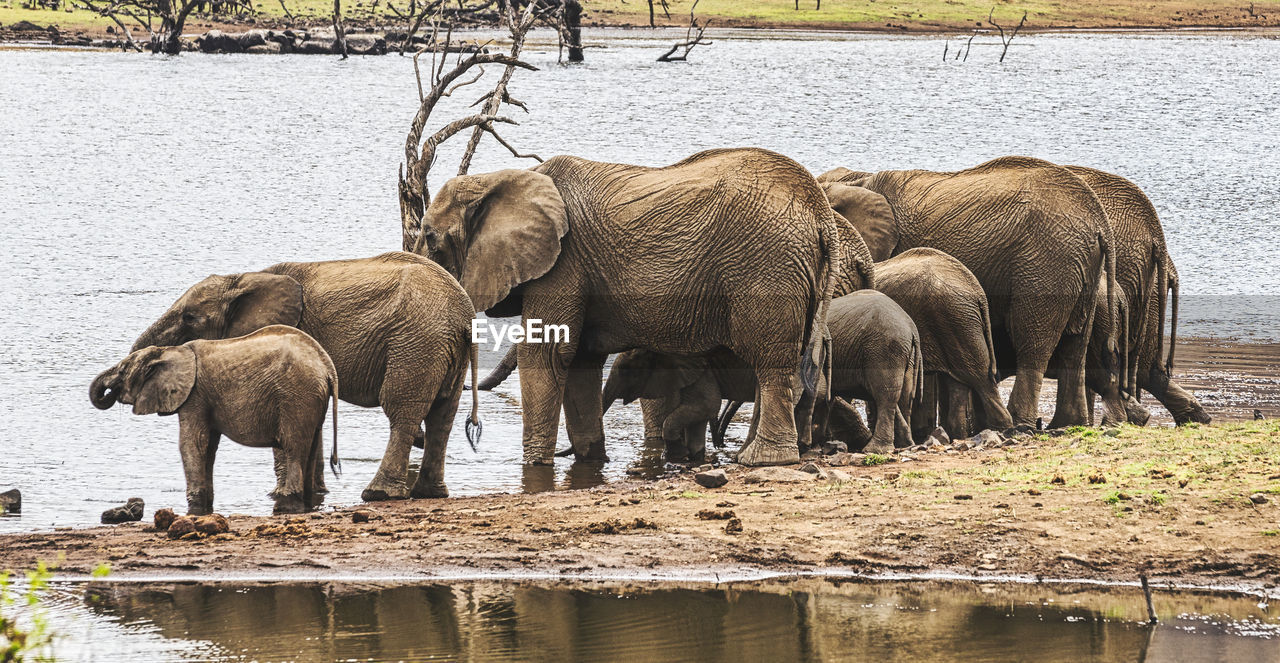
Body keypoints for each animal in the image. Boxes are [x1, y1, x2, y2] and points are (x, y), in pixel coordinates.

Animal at [90, 325, 340, 517]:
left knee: (292, 447)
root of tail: (327, 366)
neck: (170, 351)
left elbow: (191, 444)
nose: (108, 391)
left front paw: (195, 505)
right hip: (311, 399)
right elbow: (209, 446)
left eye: (122, 371)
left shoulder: (195, 395)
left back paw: (288, 501)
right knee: (311, 445)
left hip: (295, 396)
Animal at [399, 147, 865, 468]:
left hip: (767, 268)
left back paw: (762, 460)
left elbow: (547, 354)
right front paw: (590, 460)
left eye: (431, 239)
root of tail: (820, 214)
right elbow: (580, 359)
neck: (505, 178)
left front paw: (535, 465)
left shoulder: (565, 263)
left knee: (771, 362)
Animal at [824, 160, 1116, 432]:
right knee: (1075, 343)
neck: (856, 181)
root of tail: (1099, 221)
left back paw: (1020, 423)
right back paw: (1067, 424)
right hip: (1083, 268)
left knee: (1033, 341)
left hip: (1045, 263)